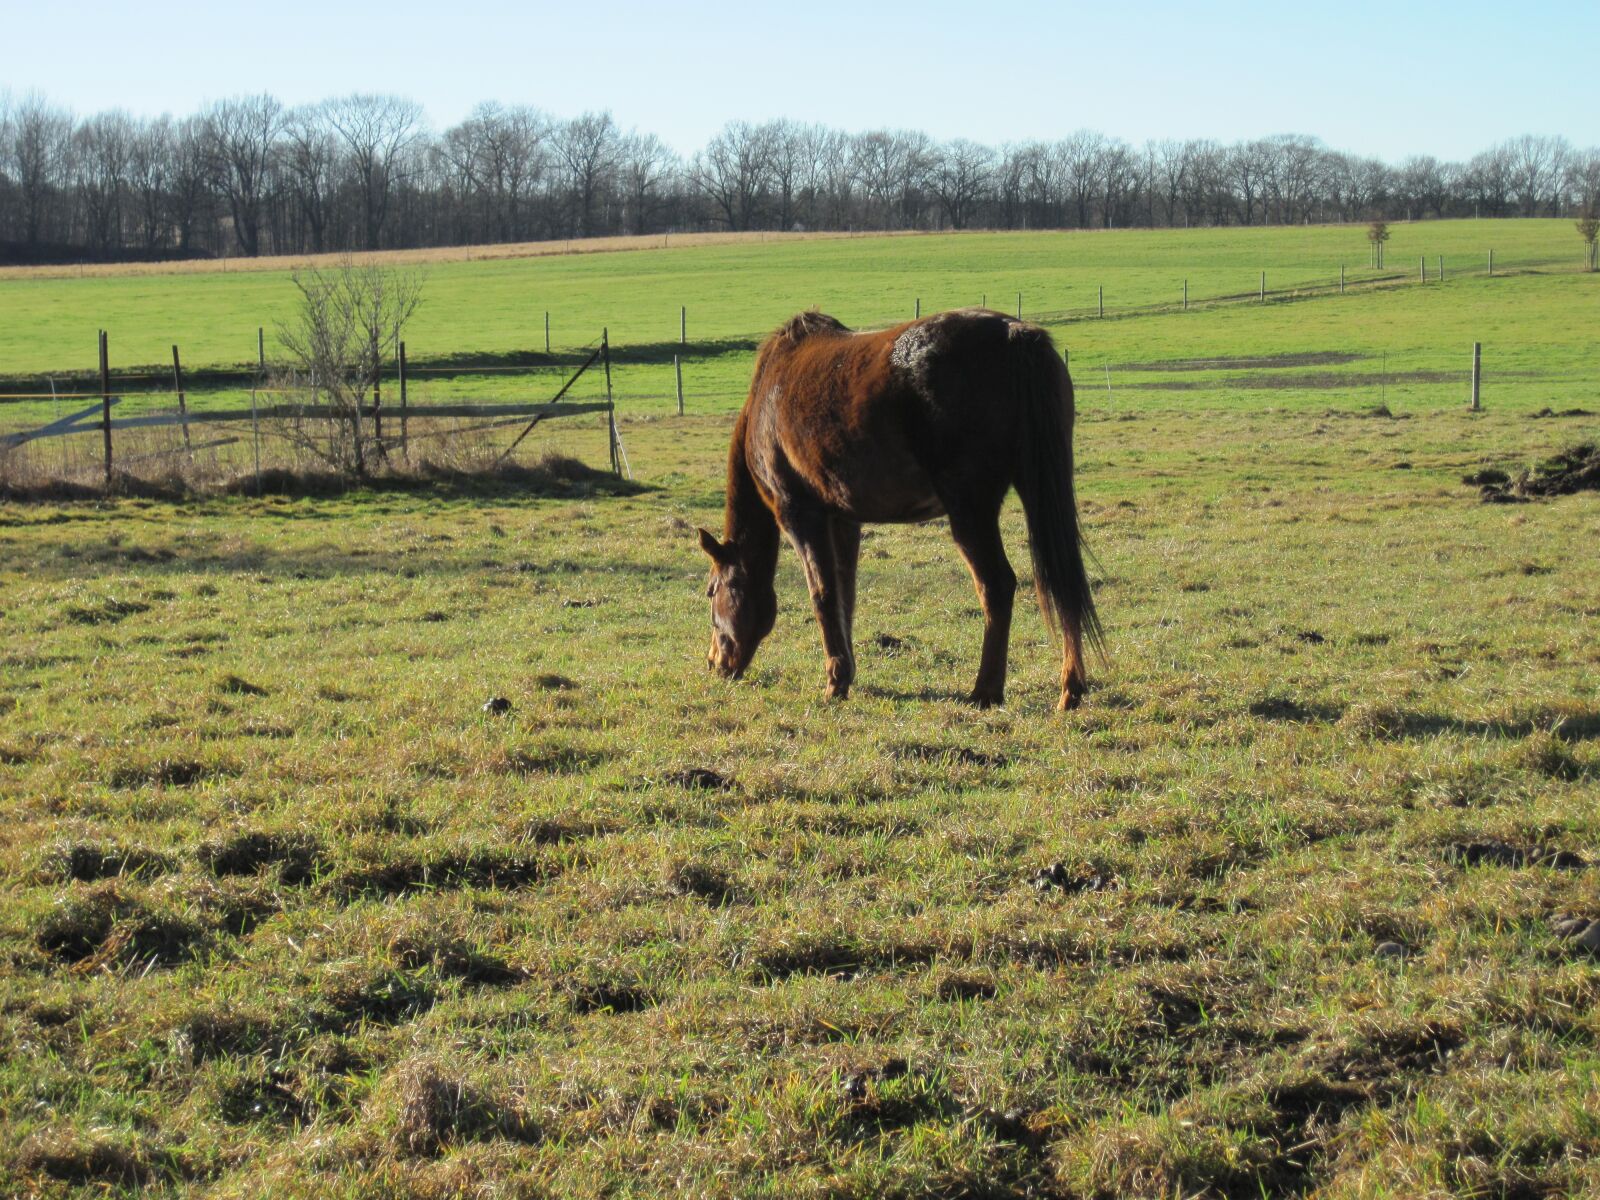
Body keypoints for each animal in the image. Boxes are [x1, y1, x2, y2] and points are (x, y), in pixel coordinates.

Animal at [700, 305, 1100, 713]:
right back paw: (1070, 688)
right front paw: (847, 674)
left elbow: (823, 594)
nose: (715, 663)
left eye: (711, 591)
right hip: (1039, 486)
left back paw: (985, 690)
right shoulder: (843, 519)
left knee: (997, 585)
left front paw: (834, 683)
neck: (766, 400)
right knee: (1063, 583)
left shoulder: (799, 513)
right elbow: (845, 593)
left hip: (970, 509)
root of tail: (1012, 334)